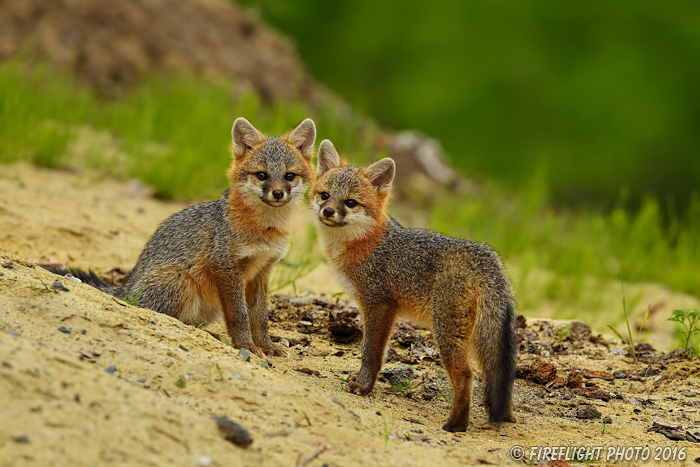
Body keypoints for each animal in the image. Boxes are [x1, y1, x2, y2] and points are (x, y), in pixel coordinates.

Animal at [56, 118, 316, 358]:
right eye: (262, 175)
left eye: (289, 176)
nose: (278, 193)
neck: (266, 229)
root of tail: (125, 289)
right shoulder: (225, 266)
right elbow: (239, 314)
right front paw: (246, 345)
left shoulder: (262, 272)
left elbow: (260, 317)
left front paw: (266, 345)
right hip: (180, 279)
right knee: (161, 315)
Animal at [308, 141, 516, 434]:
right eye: (324, 195)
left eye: (350, 202)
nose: (327, 211)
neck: (365, 243)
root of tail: (486, 257)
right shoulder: (386, 310)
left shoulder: (378, 304)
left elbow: (371, 352)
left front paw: (363, 386)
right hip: (480, 337)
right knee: (500, 376)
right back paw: (505, 416)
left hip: (446, 333)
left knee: (466, 374)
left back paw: (456, 424)